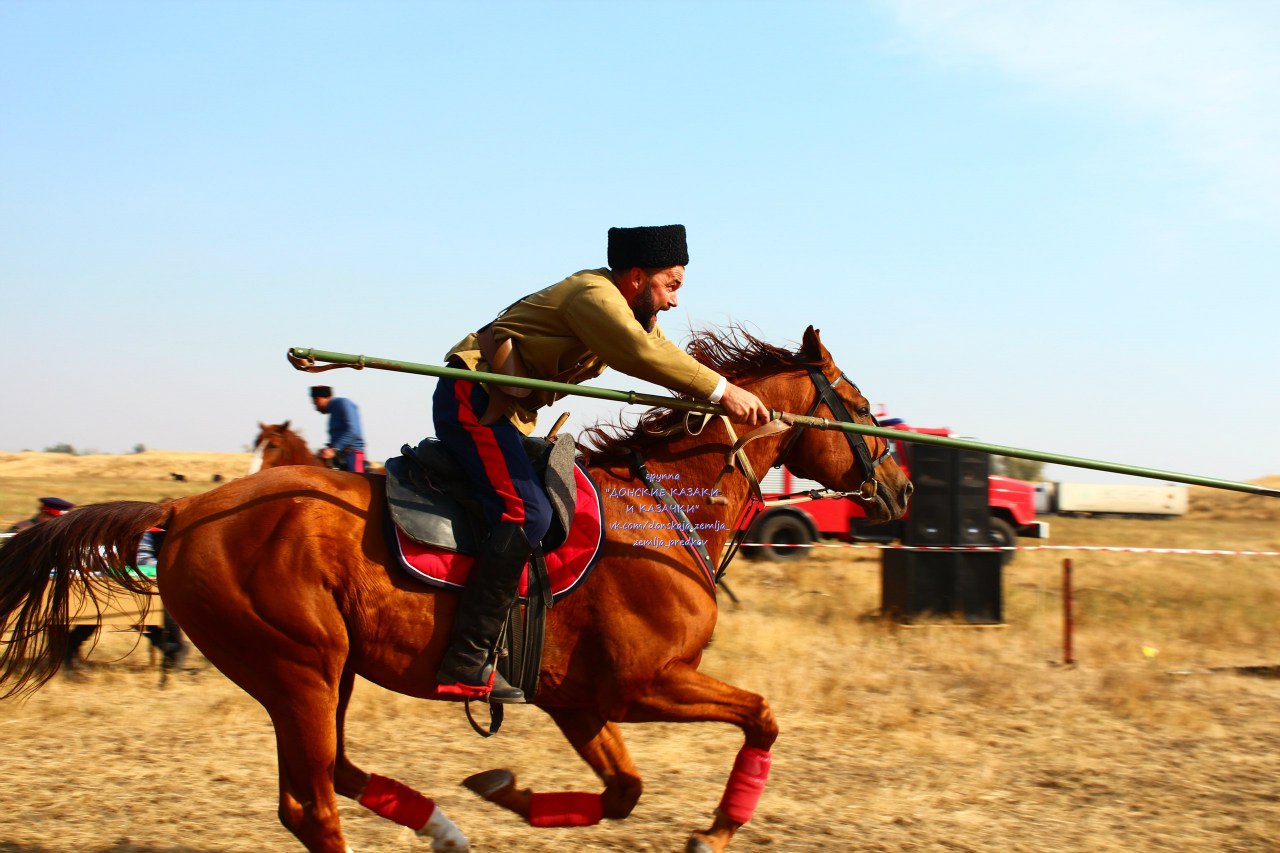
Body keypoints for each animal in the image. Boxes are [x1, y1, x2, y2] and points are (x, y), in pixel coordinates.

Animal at [5, 326, 916, 850]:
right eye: (860, 402)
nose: (904, 487)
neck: (659, 510)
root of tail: (185, 507)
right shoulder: (643, 684)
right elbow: (760, 715)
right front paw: (717, 829)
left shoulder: (578, 700)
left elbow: (623, 790)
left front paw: (505, 791)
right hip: (299, 669)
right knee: (313, 806)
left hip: (322, 673)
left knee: (332, 776)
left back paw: (443, 824)